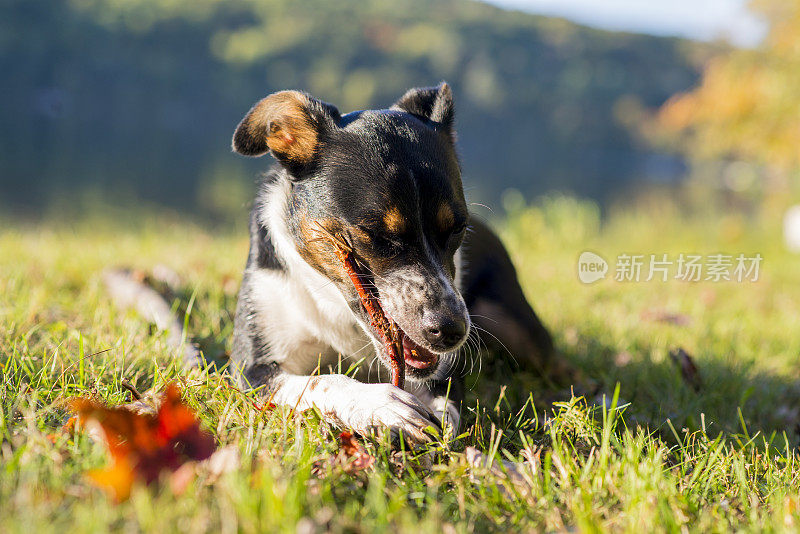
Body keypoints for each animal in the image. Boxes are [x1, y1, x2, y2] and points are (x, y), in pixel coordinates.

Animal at [231, 82, 556, 444]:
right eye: (375, 233)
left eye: (459, 227)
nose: (452, 331)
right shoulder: (253, 370)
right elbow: (321, 381)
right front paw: (380, 405)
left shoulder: (442, 373)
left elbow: (445, 403)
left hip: (522, 332)